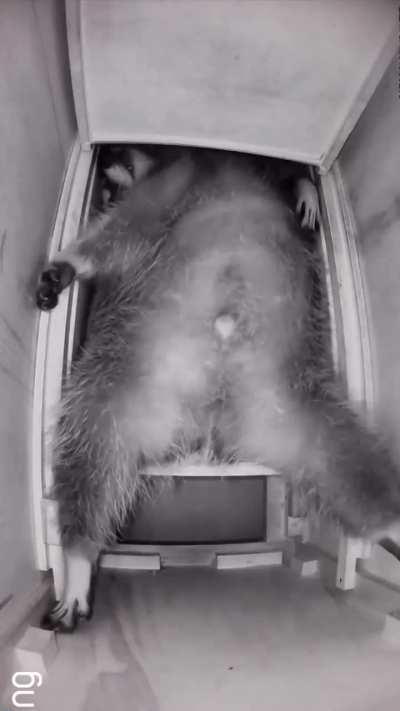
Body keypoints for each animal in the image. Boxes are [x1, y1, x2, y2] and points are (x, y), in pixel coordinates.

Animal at [36, 148, 400, 631]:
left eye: (109, 185)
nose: (107, 175)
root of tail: (210, 424)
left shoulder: (178, 172)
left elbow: (127, 224)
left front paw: (305, 186)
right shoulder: (177, 178)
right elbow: (122, 232)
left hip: (286, 401)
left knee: (350, 462)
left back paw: (389, 520)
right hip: (145, 382)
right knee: (89, 437)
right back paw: (79, 555)